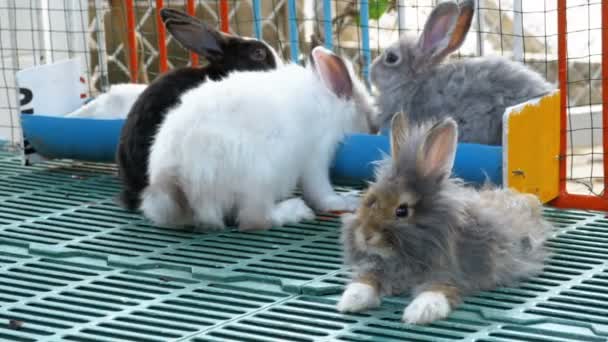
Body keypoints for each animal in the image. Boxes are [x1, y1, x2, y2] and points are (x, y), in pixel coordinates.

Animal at [142, 46, 378, 231]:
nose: (374, 130)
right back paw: (295, 210)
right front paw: (346, 201)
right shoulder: (316, 156)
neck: (331, 106)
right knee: (255, 219)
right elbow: (320, 192)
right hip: (261, 177)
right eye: (370, 119)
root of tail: (176, 179)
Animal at [338, 111, 552, 324]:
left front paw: (419, 313)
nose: (364, 236)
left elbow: (436, 291)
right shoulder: (378, 268)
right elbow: (366, 280)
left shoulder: (450, 274)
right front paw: (350, 301)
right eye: (368, 198)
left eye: (402, 211)